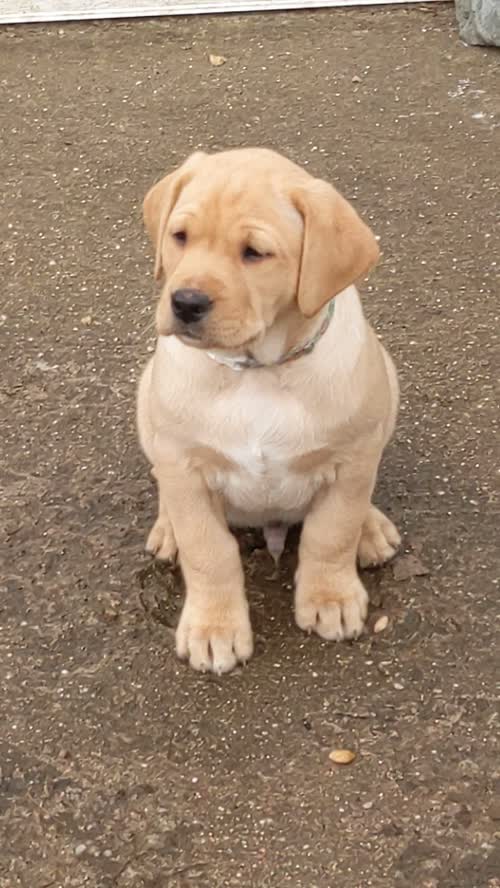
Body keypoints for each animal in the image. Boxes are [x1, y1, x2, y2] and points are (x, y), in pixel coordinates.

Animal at [138, 149, 402, 672]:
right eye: (180, 237)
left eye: (255, 253)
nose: (185, 302)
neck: (256, 370)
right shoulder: (183, 463)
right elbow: (208, 549)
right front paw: (214, 628)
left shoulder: (352, 459)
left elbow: (332, 531)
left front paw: (331, 597)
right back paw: (167, 528)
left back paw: (372, 527)